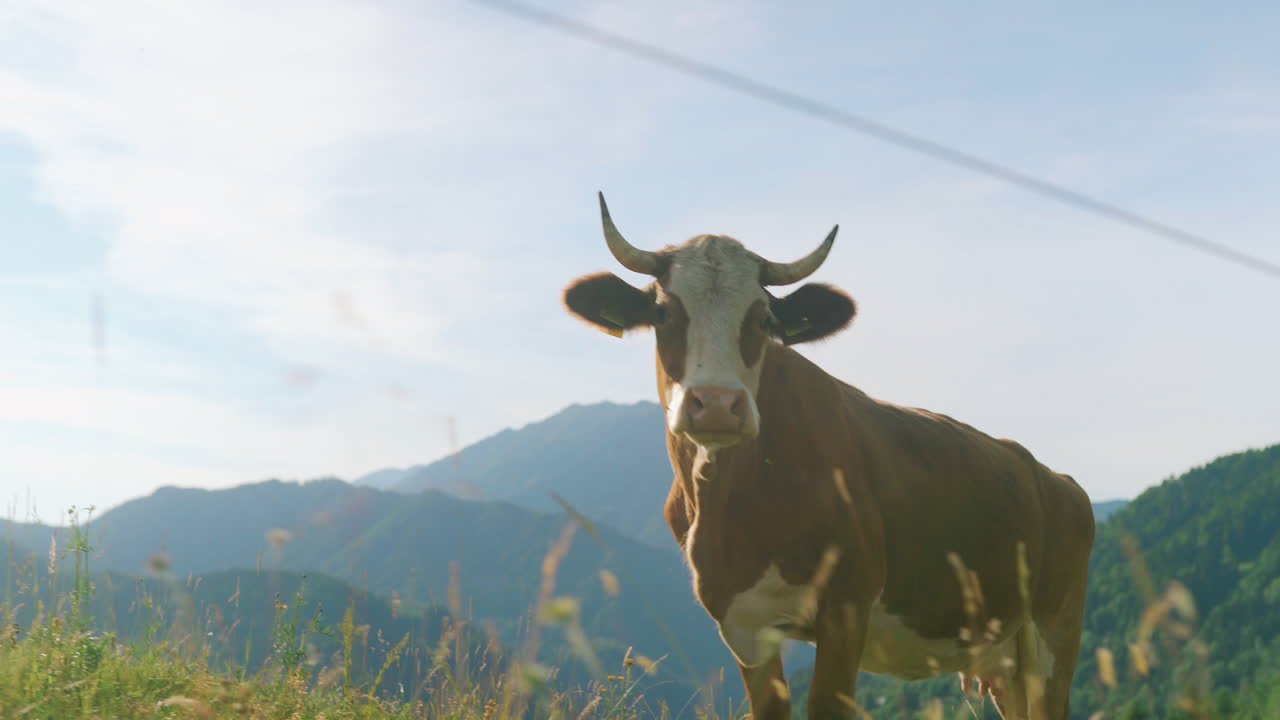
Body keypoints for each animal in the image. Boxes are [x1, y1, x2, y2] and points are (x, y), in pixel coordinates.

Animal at [562, 194, 1095, 720]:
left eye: (763, 319)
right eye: (663, 314)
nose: (715, 403)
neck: (734, 508)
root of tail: (1051, 475)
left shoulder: (846, 607)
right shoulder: (741, 624)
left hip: (1054, 633)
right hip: (1004, 661)